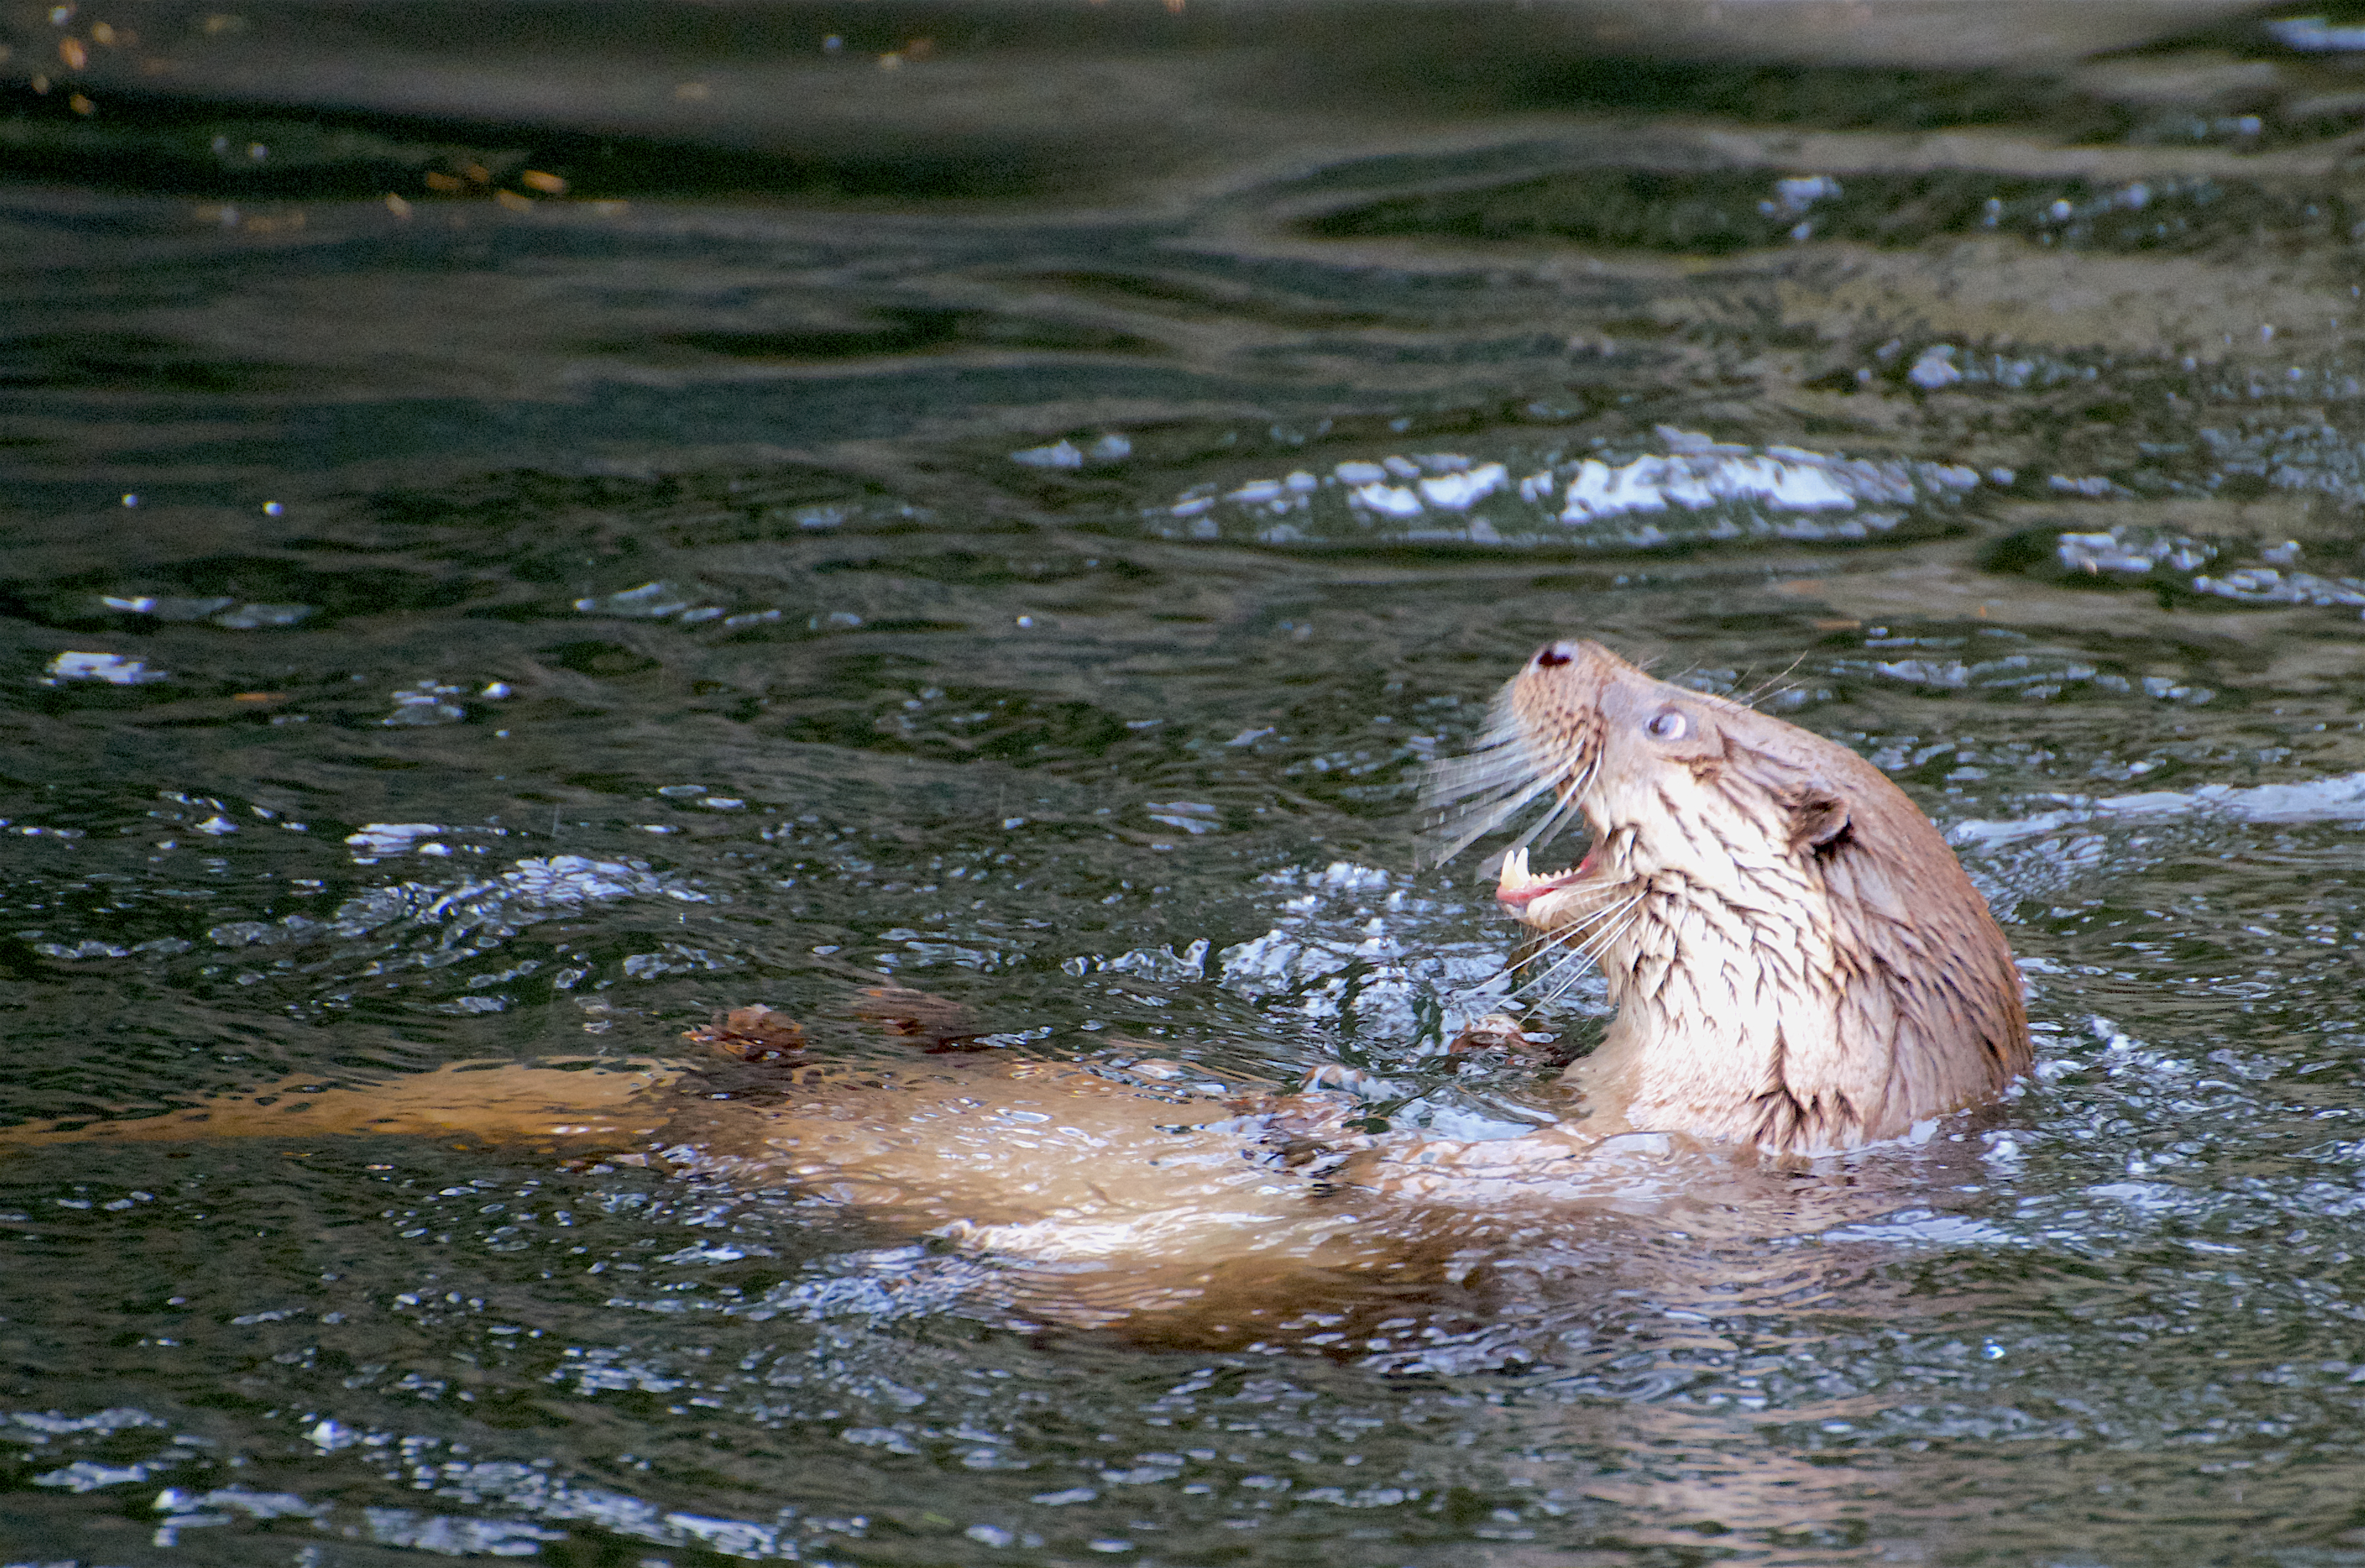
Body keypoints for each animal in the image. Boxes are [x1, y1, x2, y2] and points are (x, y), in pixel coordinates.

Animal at [0, 641, 2029, 1253]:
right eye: (1637, 667)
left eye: (1669, 714)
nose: (1554, 646)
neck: (1753, 1091)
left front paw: (1310, 1133)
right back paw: (873, 1024)